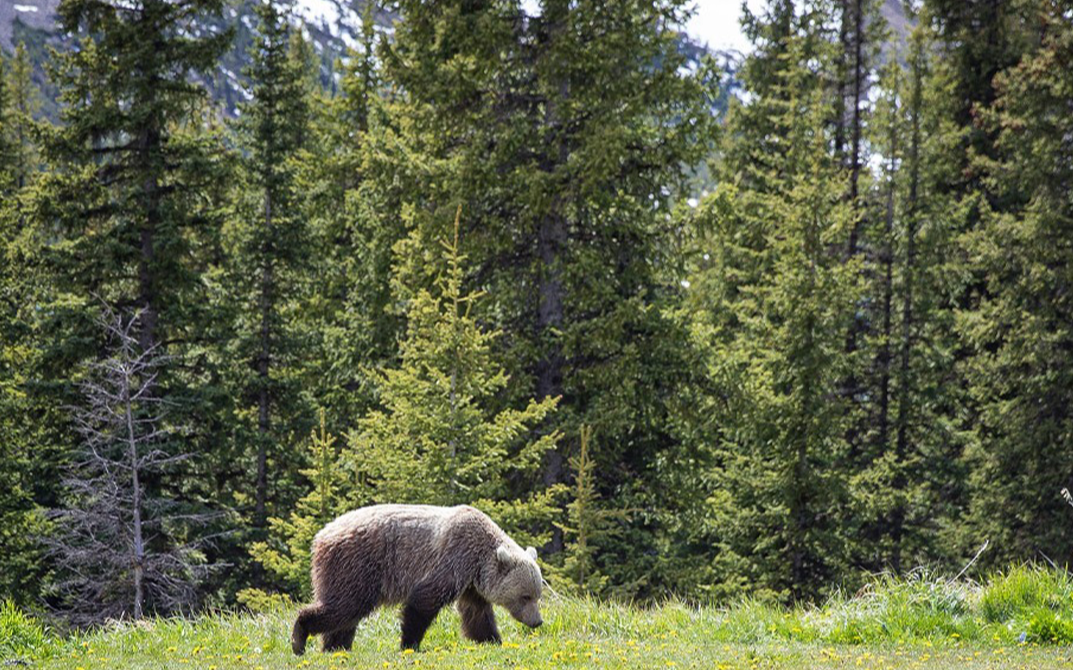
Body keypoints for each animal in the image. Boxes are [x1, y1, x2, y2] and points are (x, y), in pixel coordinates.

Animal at [291, 502, 545, 652]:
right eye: (525, 596)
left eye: (537, 595)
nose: (537, 621)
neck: (478, 560)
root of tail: (321, 536)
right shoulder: (452, 558)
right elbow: (423, 601)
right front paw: (409, 644)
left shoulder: (471, 583)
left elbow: (477, 614)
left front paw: (492, 639)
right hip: (356, 565)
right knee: (344, 607)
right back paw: (300, 637)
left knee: (345, 615)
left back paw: (335, 647)